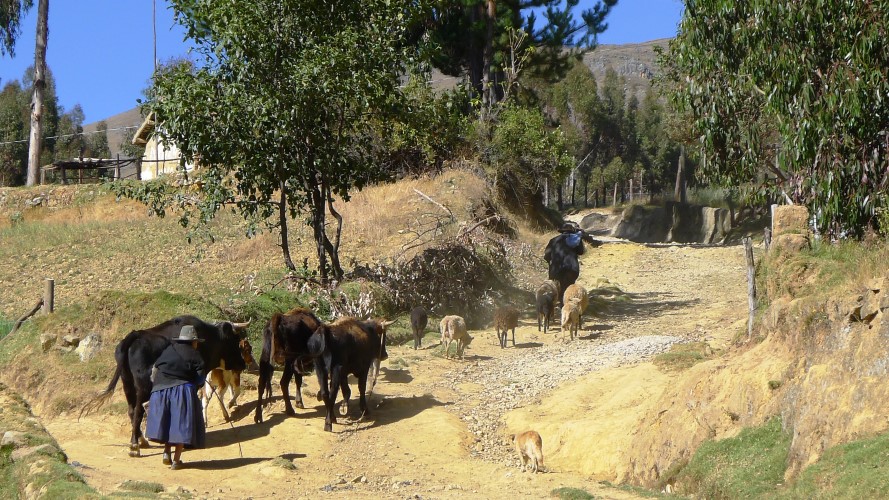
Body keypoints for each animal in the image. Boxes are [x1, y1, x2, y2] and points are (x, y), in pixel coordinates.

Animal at [81, 316, 248, 458]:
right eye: (236, 340)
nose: (243, 364)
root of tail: (135, 335)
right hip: (142, 386)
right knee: (138, 411)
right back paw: (135, 446)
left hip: (127, 381)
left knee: (131, 410)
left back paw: (141, 441)